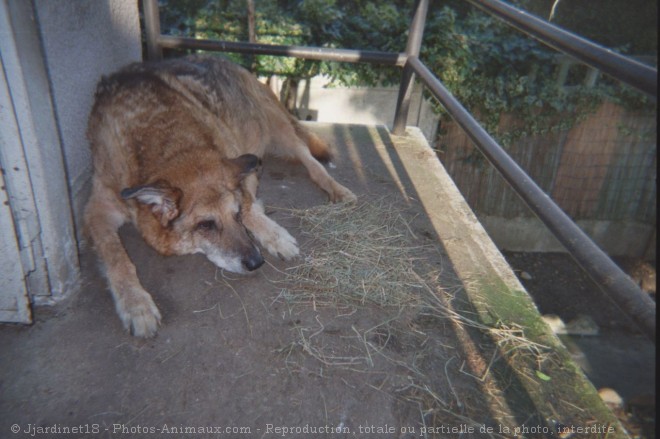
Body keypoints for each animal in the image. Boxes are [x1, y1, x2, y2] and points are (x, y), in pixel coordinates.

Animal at [84, 54, 356, 336]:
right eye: (206, 225)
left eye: (235, 216)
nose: (257, 262)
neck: (166, 142)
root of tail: (225, 60)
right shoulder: (97, 209)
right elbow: (116, 256)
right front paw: (136, 304)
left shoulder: (243, 167)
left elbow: (250, 206)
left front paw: (274, 235)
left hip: (277, 127)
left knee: (310, 158)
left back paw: (336, 188)